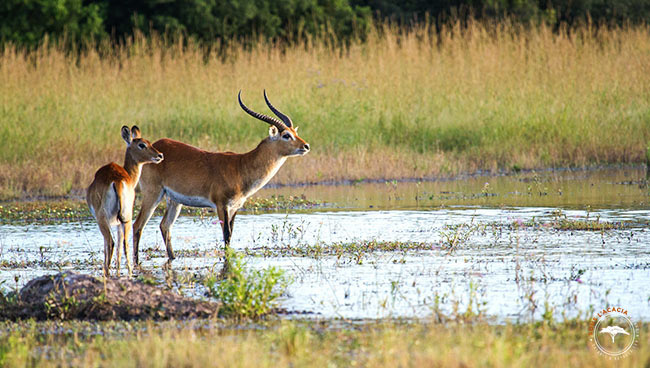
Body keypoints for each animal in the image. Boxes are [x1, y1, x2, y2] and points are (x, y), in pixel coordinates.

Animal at [86, 126, 163, 276]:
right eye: (142, 144)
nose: (160, 155)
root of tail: (117, 181)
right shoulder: (119, 222)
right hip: (126, 218)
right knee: (125, 244)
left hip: (103, 219)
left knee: (111, 243)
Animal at [131, 90, 308, 266]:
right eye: (286, 135)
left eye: (295, 133)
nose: (306, 146)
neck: (241, 166)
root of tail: (155, 147)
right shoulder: (221, 205)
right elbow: (226, 235)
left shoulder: (235, 207)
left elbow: (231, 233)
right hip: (153, 194)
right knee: (137, 225)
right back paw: (136, 263)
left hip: (174, 201)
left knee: (164, 226)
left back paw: (172, 258)